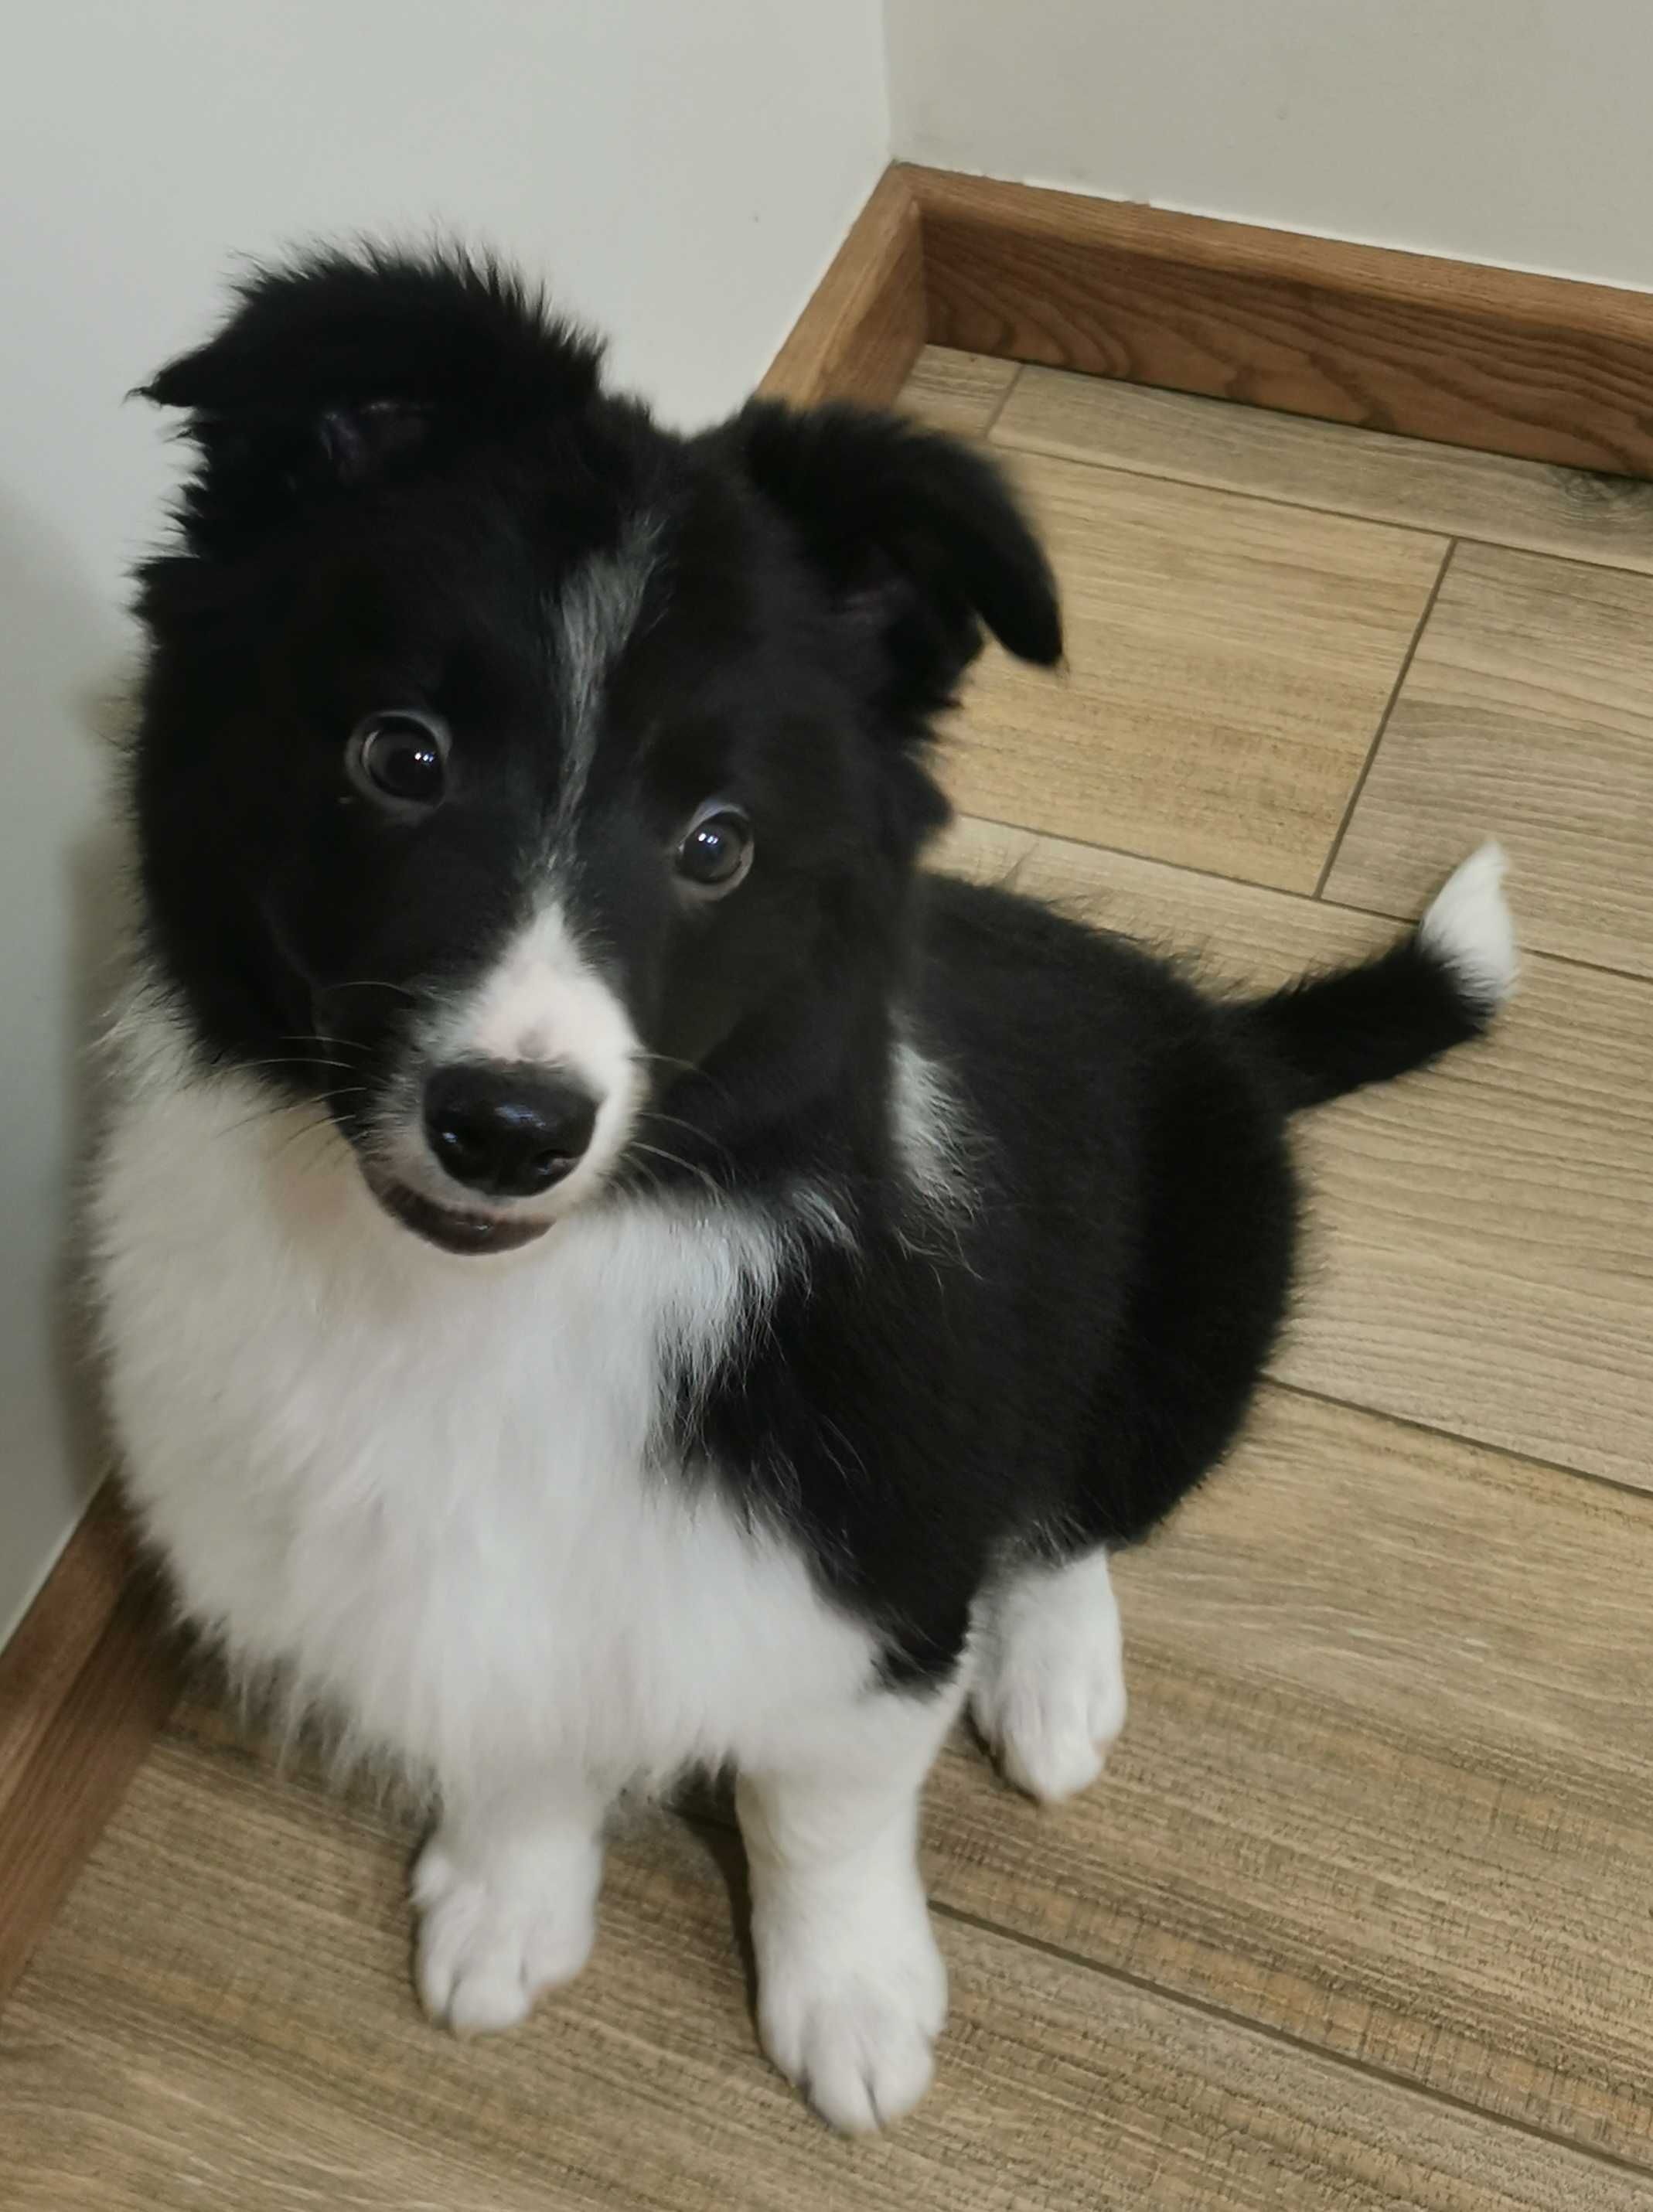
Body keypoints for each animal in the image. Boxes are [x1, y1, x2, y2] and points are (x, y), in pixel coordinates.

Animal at [97, 251, 1522, 2132]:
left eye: (717, 842)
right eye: (399, 756)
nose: (508, 1125)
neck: (509, 1294)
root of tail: (1219, 1029)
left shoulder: (876, 1563)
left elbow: (821, 1804)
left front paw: (851, 1997)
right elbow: (515, 1715)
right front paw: (507, 1896)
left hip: (1204, 1291)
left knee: (1080, 1509)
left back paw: (1052, 1678)